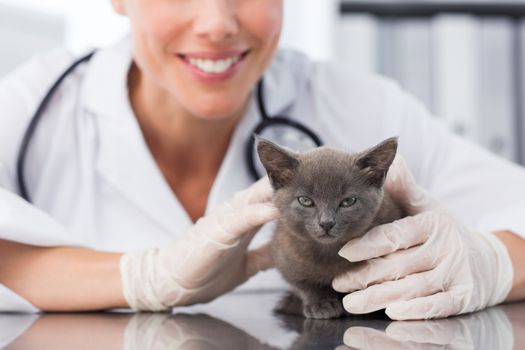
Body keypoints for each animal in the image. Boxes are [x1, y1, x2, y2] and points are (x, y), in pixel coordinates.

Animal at [256, 137, 404, 320]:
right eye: (305, 200)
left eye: (348, 201)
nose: (326, 222)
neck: (330, 252)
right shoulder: (284, 255)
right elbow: (303, 283)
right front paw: (321, 304)